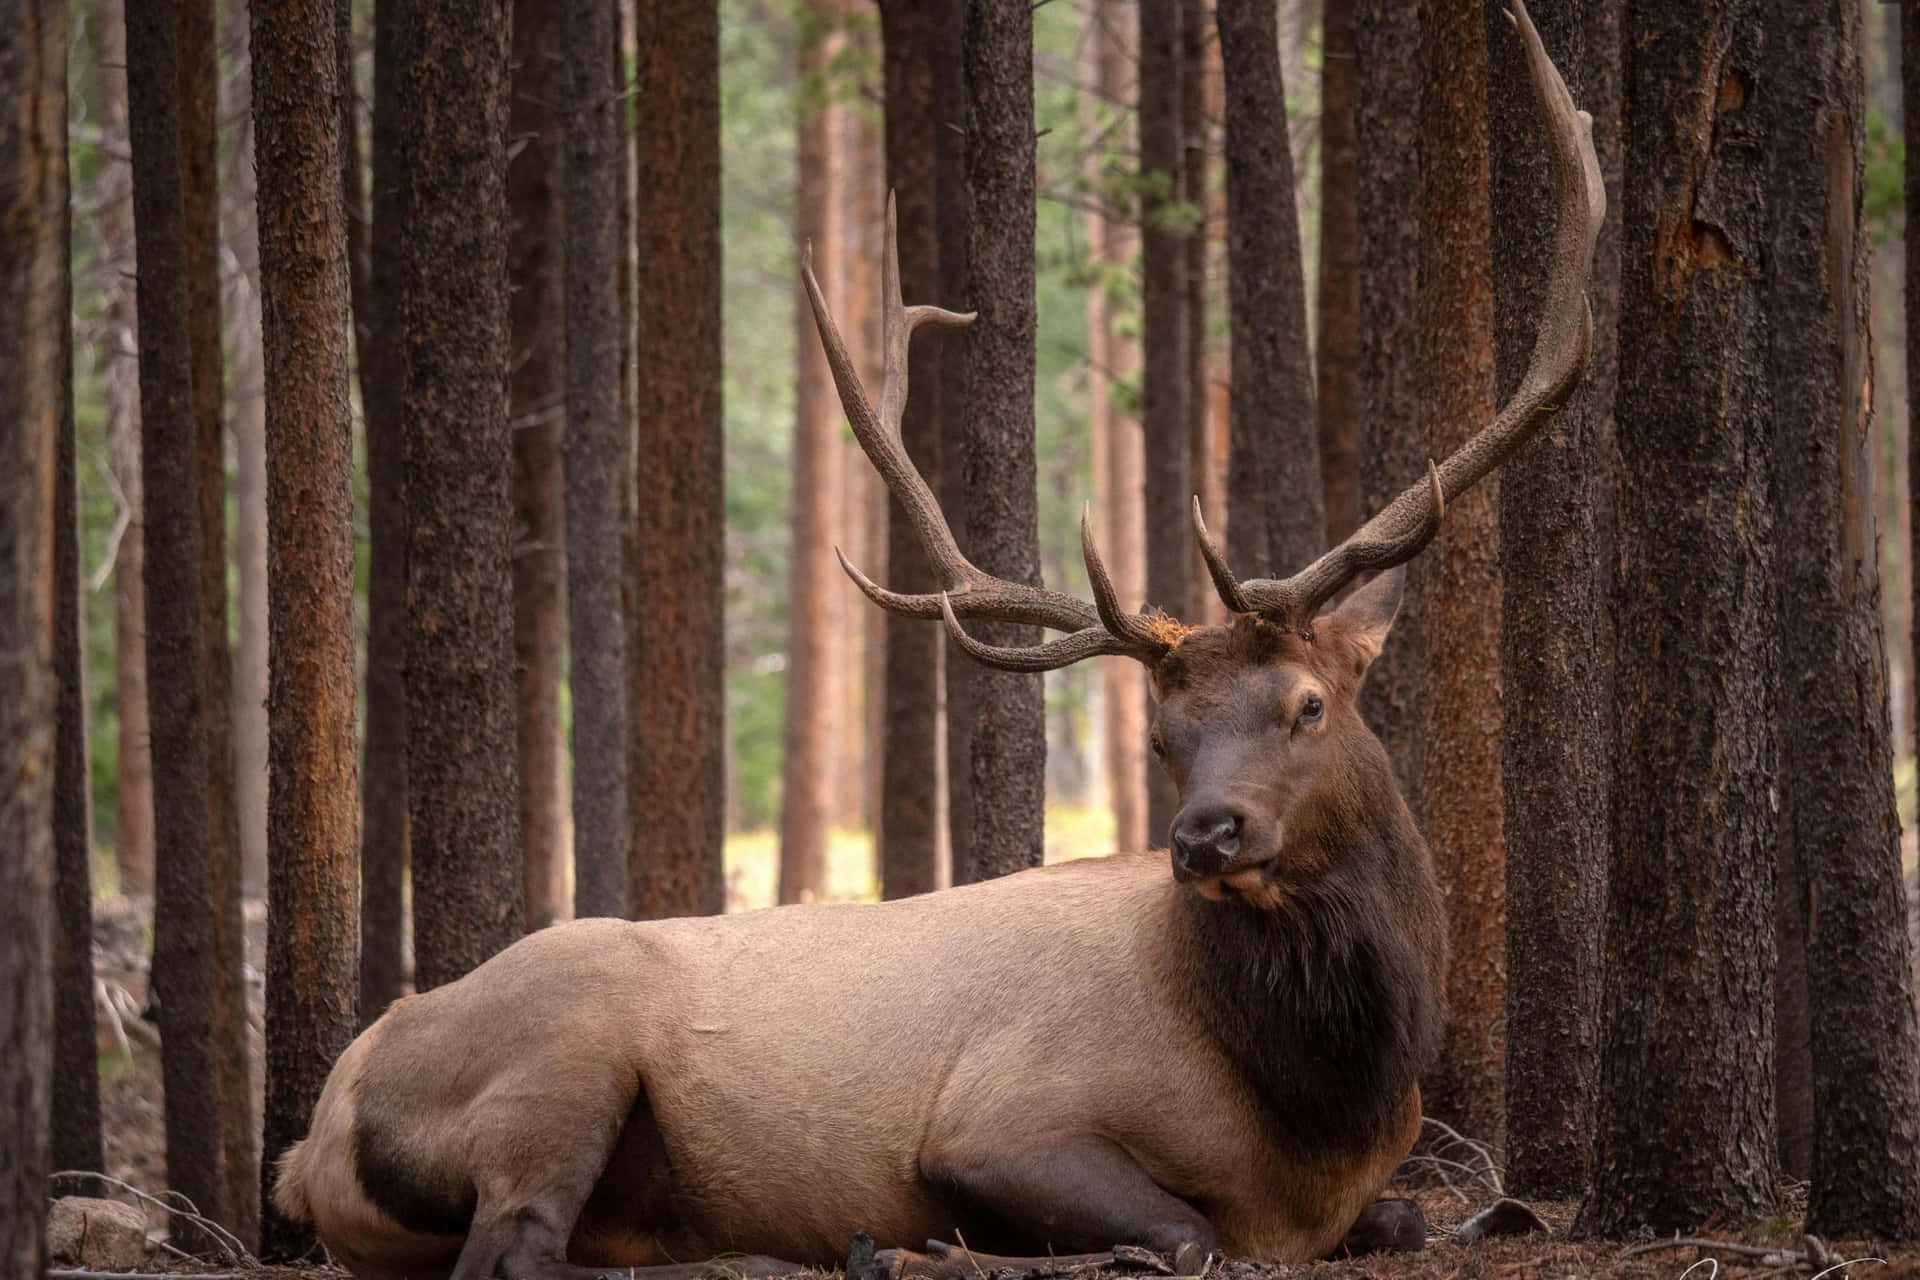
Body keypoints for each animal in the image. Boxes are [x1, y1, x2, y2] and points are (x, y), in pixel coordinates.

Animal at [271, 7, 1602, 1279]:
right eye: (1163, 734)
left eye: (1308, 703)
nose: (1203, 834)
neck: (1323, 1111)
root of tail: (310, 1137)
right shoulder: (996, 1120)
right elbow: (1188, 1231)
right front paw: (945, 1239)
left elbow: (1414, 1217)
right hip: (563, 1043)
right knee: (512, 1244)